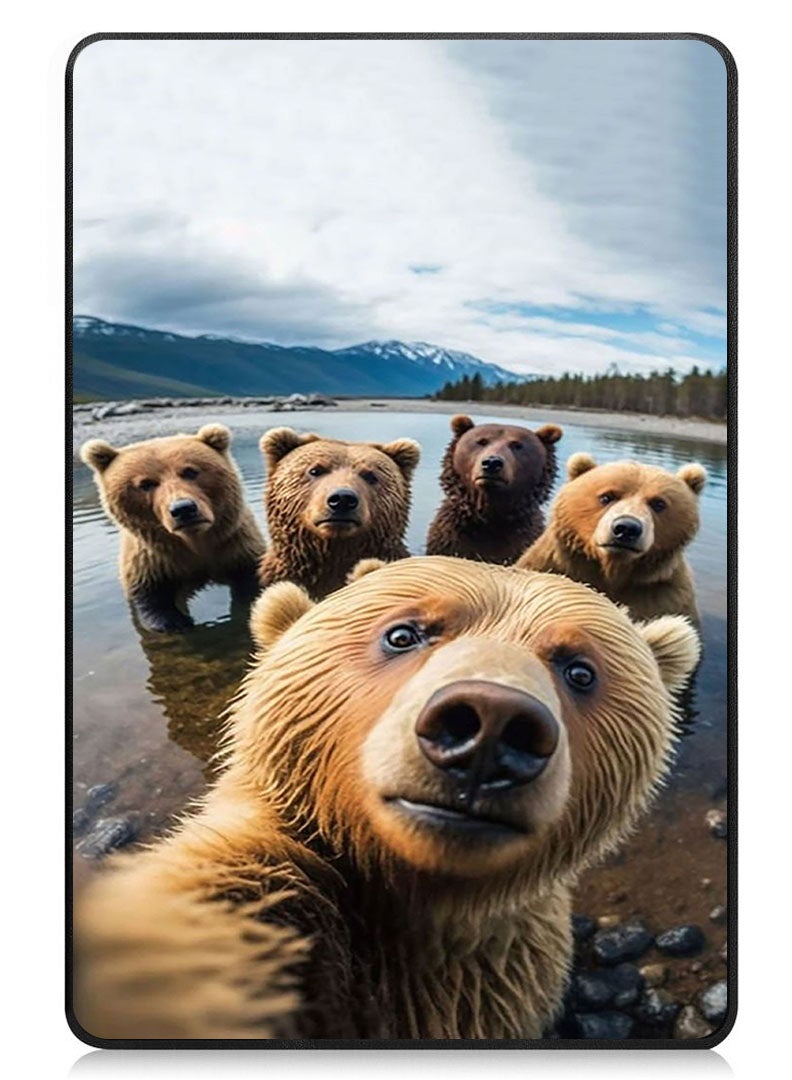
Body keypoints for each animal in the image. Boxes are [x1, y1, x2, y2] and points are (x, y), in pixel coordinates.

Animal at [80, 425, 266, 633]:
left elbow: (251, 582)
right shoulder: (152, 561)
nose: (183, 508)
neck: (196, 543)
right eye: (146, 484)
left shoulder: (236, 545)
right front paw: (175, 623)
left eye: (190, 471)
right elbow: (150, 600)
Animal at [517, 453, 708, 623]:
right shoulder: (551, 565)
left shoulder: (663, 594)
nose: (627, 528)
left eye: (658, 503)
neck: (612, 569)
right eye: (606, 496)